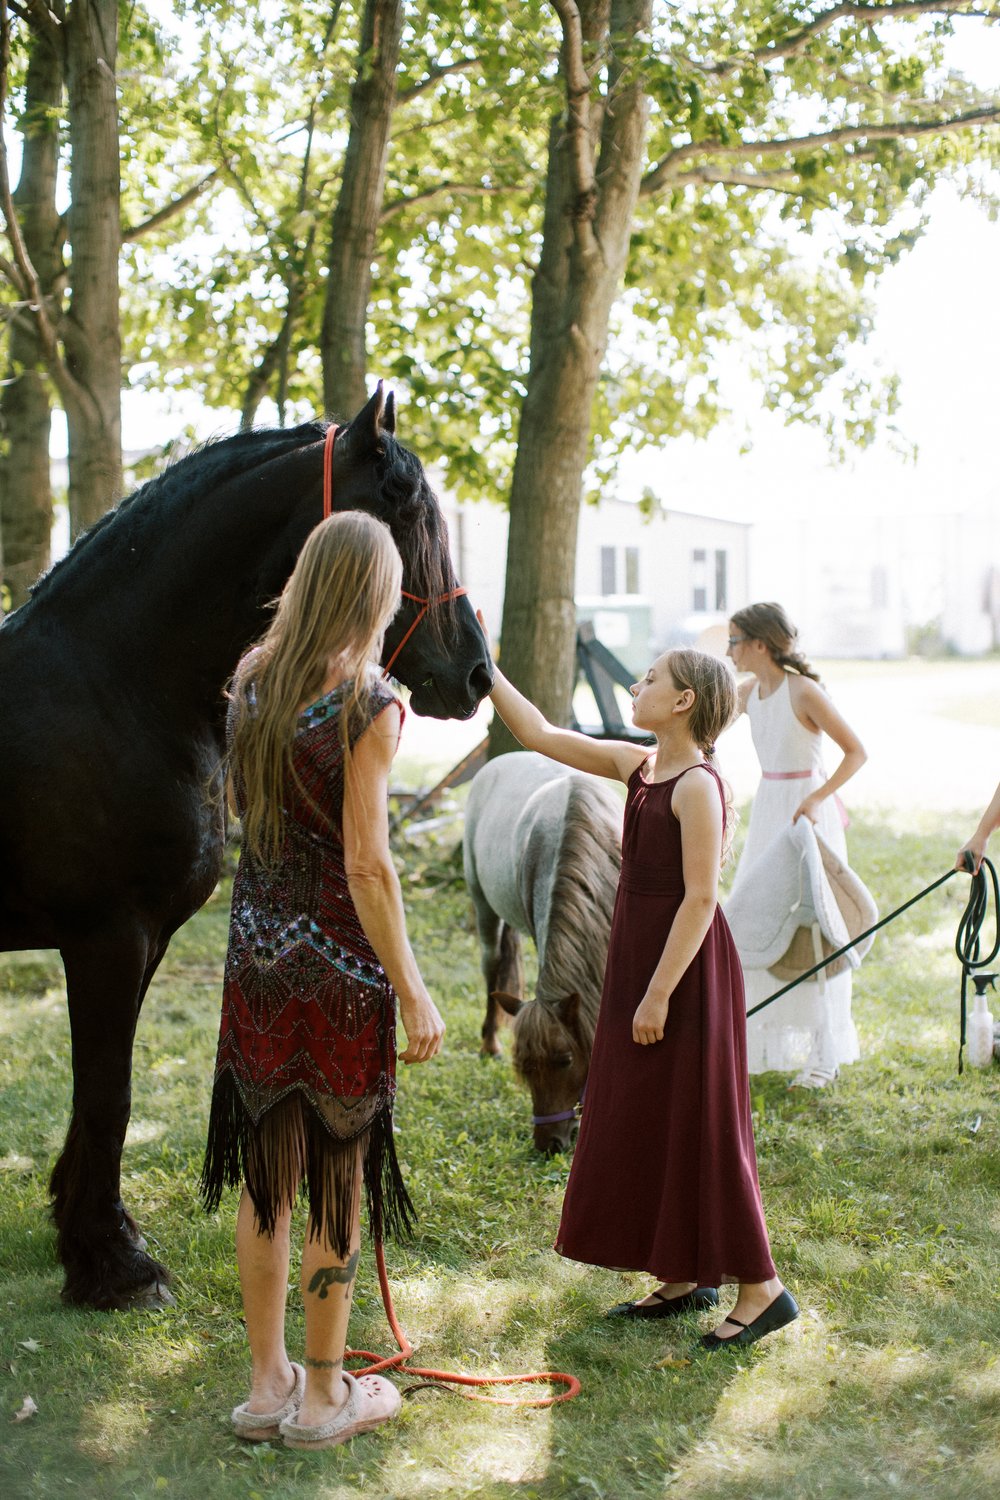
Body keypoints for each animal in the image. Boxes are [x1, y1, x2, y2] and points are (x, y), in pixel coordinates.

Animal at [0, 381, 494, 1308]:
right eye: (406, 506)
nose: (478, 673)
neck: (113, 684)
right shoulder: (107, 939)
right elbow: (109, 1095)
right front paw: (113, 1267)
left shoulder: (144, 941)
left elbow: (99, 1099)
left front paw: (90, 1235)